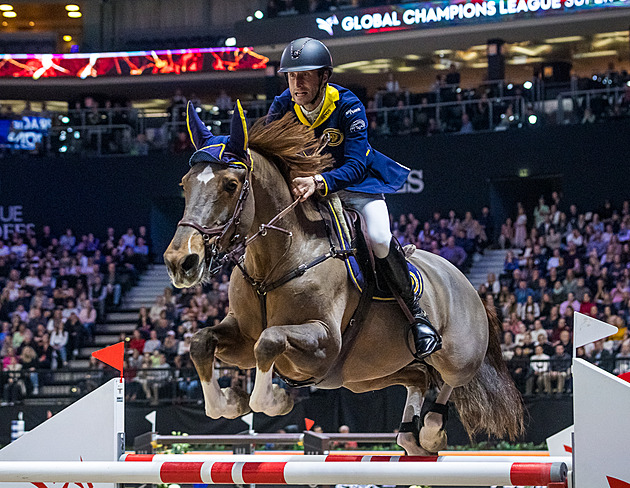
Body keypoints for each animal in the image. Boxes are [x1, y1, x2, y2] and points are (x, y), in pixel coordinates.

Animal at [163, 101, 524, 456]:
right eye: (184, 185)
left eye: (230, 185)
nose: (180, 262)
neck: (275, 262)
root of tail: (466, 282)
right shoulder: (241, 337)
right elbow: (202, 343)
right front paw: (230, 402)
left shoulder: (324, 342)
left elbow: (269, 342)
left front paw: (276, 399)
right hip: (365, 375)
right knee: (418, 378)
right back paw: (410, 436)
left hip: (455, 357)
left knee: (449, 379)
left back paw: (431, 431)